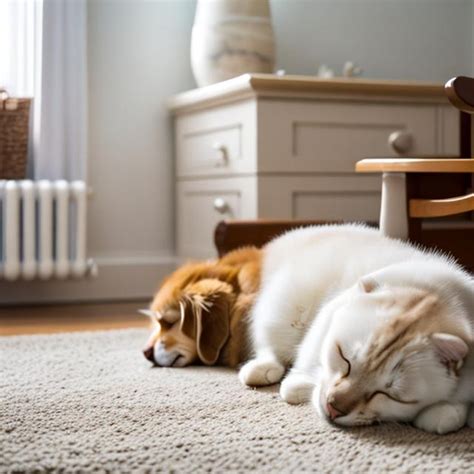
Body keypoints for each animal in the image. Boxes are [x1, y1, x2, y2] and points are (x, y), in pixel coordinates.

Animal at [241, 225, 474, 434]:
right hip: (285, 311)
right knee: (267, 343)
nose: (333, 408)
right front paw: (301, 384)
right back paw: (260, 370)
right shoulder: (326, 314)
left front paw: (447, 411)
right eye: (345, 359)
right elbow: (308, 358)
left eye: (389, 395)